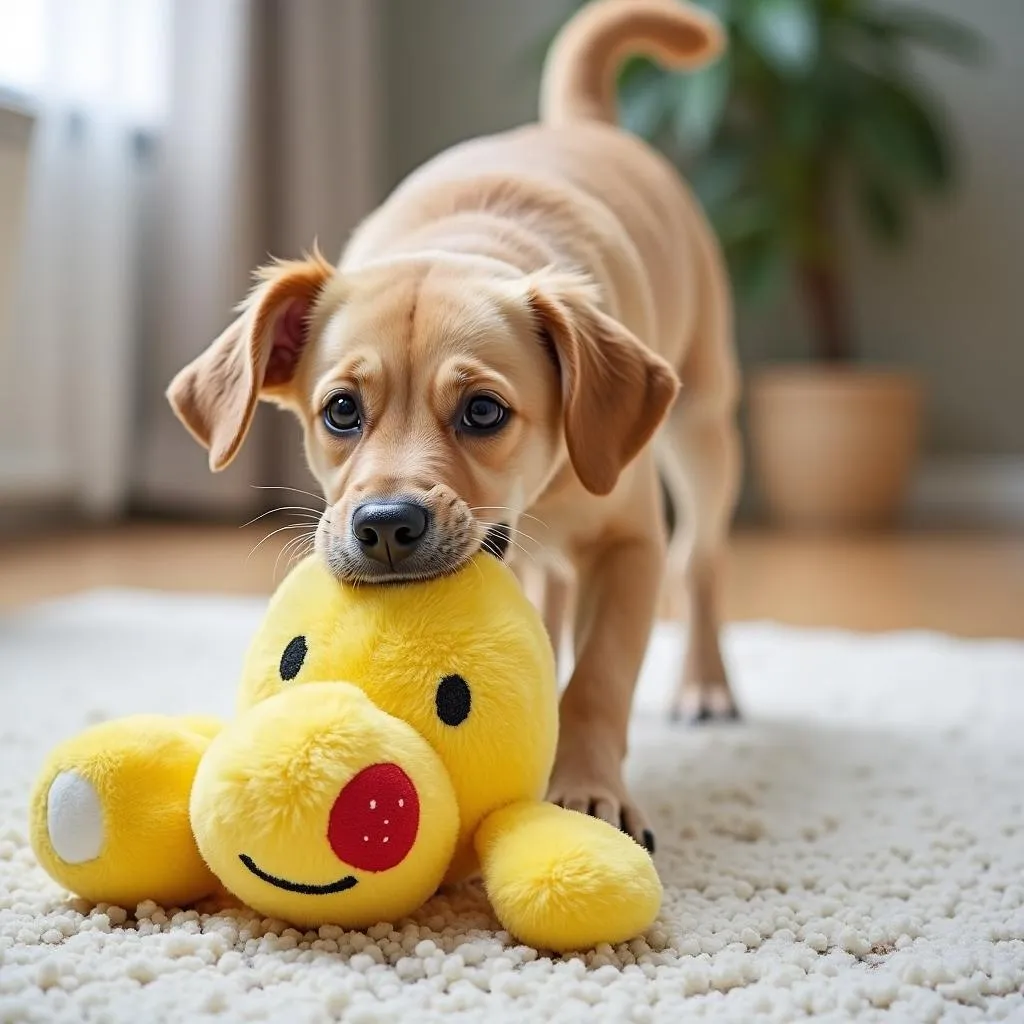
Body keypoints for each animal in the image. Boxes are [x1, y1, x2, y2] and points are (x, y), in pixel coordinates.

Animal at [172, 0, 741, 847]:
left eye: (483, 411)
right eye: (341, 410)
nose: (384, 526)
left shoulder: (629, 542)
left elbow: (600, 677)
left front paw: (588, 791)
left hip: (702, 427)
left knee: (699, 561)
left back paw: (706, 685)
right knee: (562, 588)